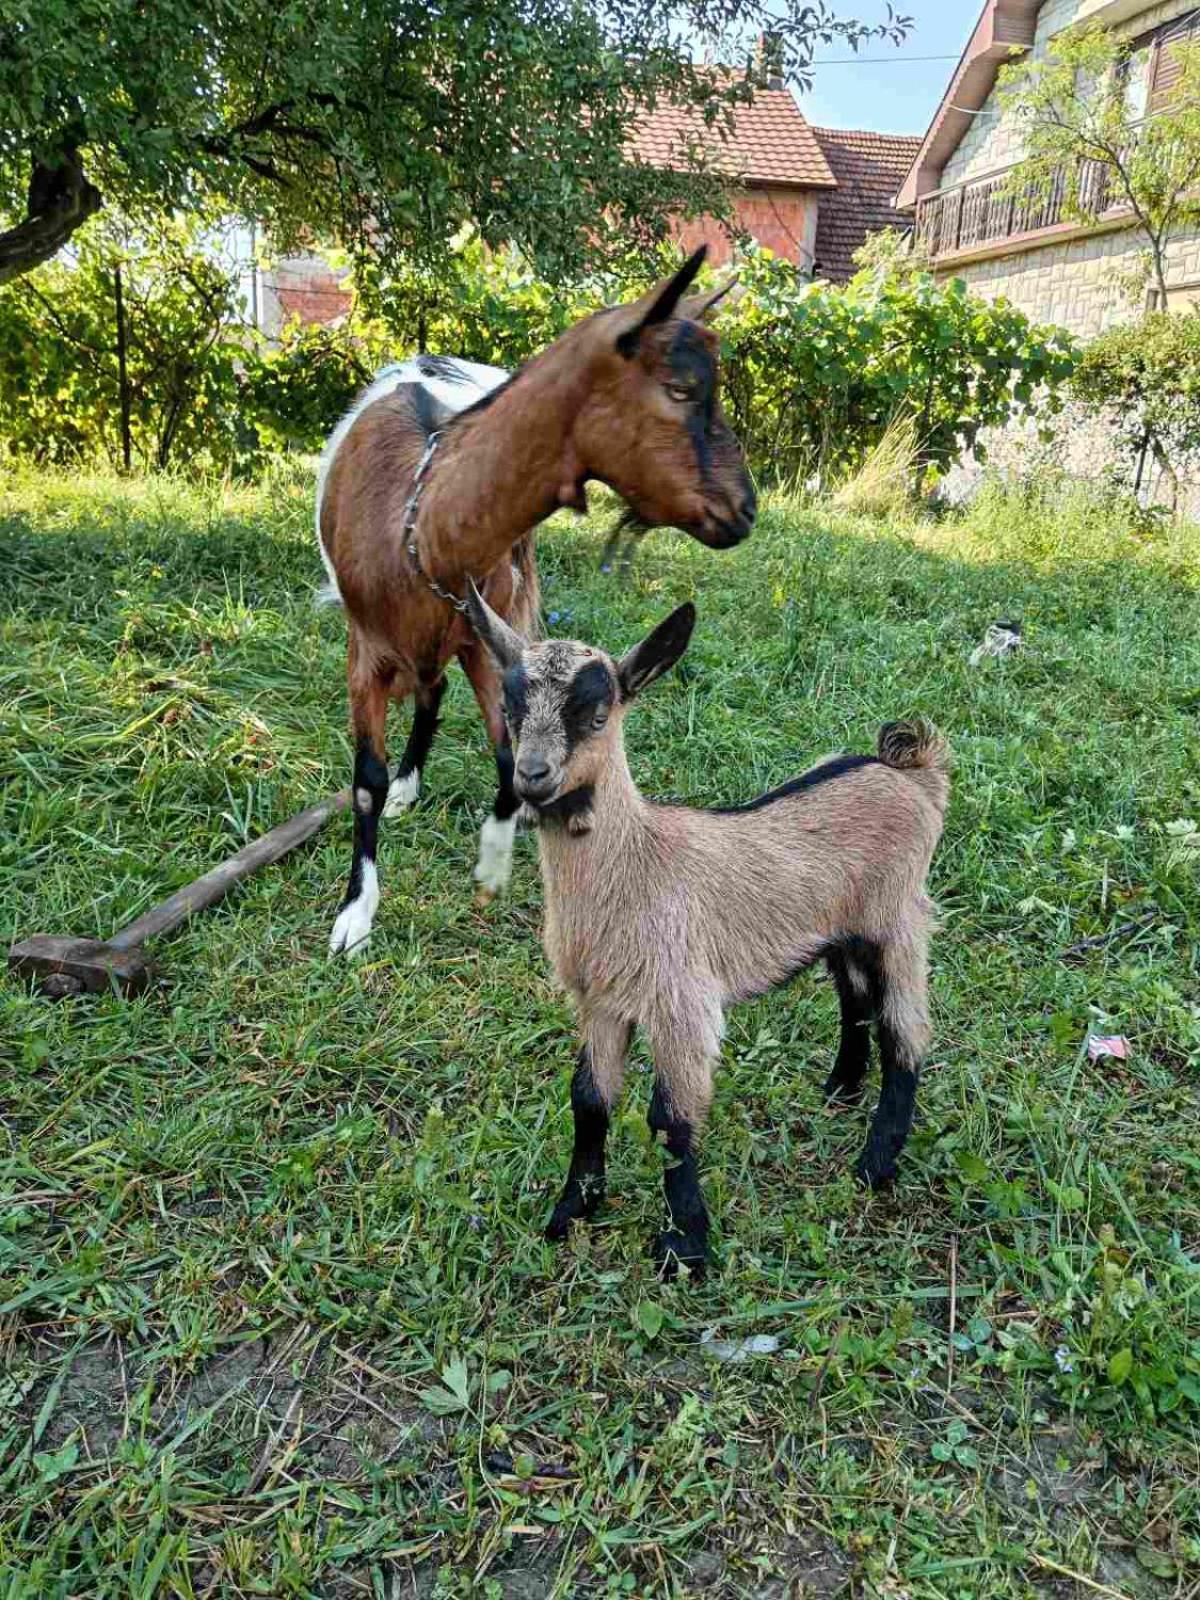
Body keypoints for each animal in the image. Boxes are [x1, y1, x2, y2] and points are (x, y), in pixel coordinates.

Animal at [316, 244, 752, 953]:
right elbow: (365, 784)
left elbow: (503, 750)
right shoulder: (366, 651)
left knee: (438, 692)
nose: (745, 511)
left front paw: (495, 856)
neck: (419, 529)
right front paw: (356, 912)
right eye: (682, 388)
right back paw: (408, 786)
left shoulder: (486, 637)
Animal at [464, 588, 953, 1273]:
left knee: (904, 1030)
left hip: (898, 917)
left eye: (597, 716)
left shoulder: (681, 1001)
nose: (531, 776)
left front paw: (686, 1248)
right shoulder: (600, 1000)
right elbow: (588, 1099)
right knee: (855, 1000)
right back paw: (839, 1090)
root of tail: (908, 771)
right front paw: (571, 1213)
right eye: (508, 710)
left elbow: (671, 1118)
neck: (640, 864)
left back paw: (875, 1165)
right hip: (843, 927)